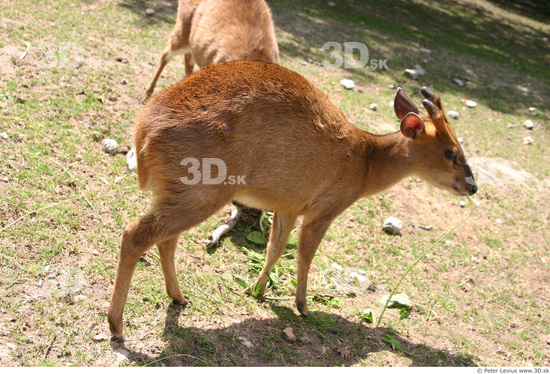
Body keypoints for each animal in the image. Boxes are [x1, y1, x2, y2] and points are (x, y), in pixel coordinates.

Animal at [109, 60, 478, 340]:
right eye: (451, 152)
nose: (472, 186)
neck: (365, 164)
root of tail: (143, 134)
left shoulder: (287, 206)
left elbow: (275, 248)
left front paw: (258, 291)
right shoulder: (325, 208)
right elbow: (304, 255)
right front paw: (303, 306)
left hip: (178, 191)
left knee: (164, 239)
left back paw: (179, 297)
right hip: (203, 188)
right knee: (135, 233)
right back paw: (117, 326)